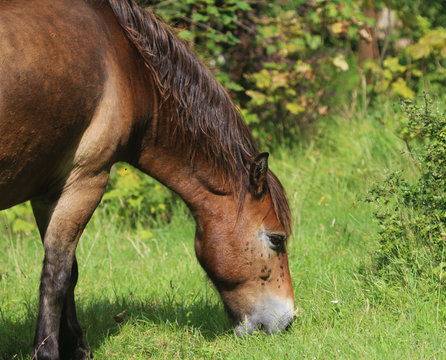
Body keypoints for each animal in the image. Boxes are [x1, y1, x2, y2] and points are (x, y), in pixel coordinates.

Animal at [0, 0, 296, 358]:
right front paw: (47, 351)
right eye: (276, 239)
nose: (287, 321)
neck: (129, 62)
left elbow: (68, 271)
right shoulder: (84, 181)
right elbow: (56, 276)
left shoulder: (47, 192)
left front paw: (77, 346)